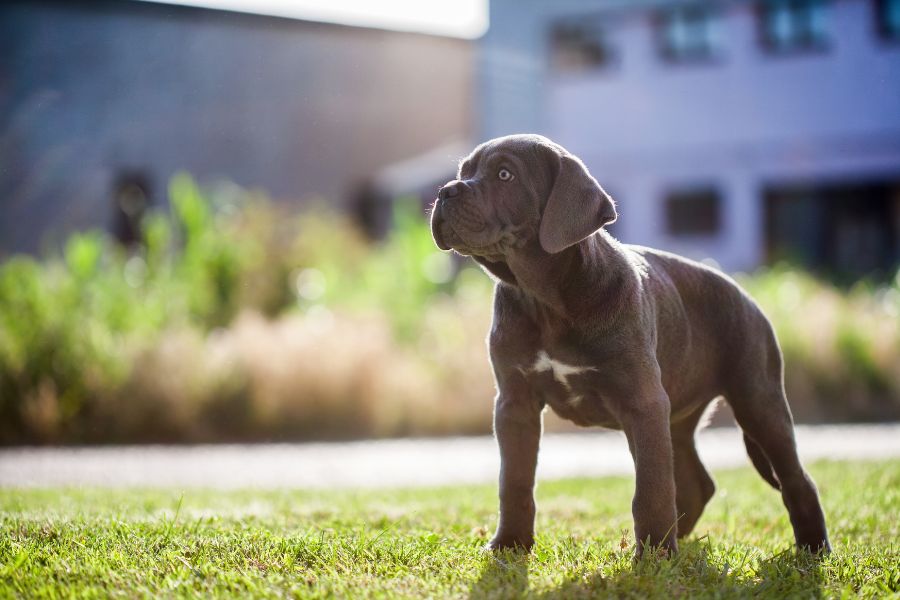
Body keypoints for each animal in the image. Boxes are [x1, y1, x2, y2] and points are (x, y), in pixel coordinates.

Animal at [428, 134, 828, 556]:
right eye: (463, 172)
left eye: (505, 174)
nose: (445, 191)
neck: (545, 298)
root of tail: (747, 296)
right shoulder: (514, 402)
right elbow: (514, 481)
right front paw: (509, 545)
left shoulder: (642, 401)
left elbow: (650, 488)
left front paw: (653, 556)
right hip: (678, 415)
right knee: (696, 482)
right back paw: (677, 542)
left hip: (757, 399)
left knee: (795, 479)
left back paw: (811, 549)